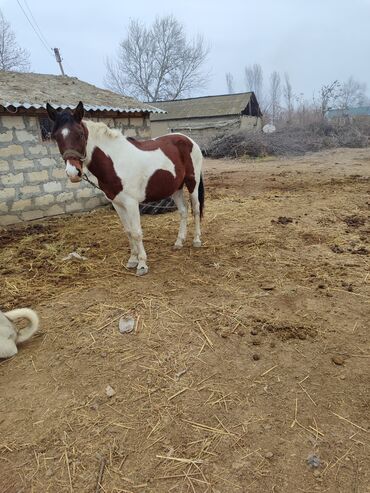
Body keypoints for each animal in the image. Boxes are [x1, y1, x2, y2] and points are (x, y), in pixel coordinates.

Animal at [45, 101, 205, 274]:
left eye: (80, 134)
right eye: (56, 136)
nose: (73, 173)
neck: (115, 162)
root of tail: (189, 140)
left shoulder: (131, 203)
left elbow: (136, 232)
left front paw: (142, 264)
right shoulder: (117, 203)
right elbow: (128, 231)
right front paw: (132, 260)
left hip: (193, 183)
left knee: (196, 209)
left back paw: (196, 240)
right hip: (175, 188)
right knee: (183, 211)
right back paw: (179, 242)